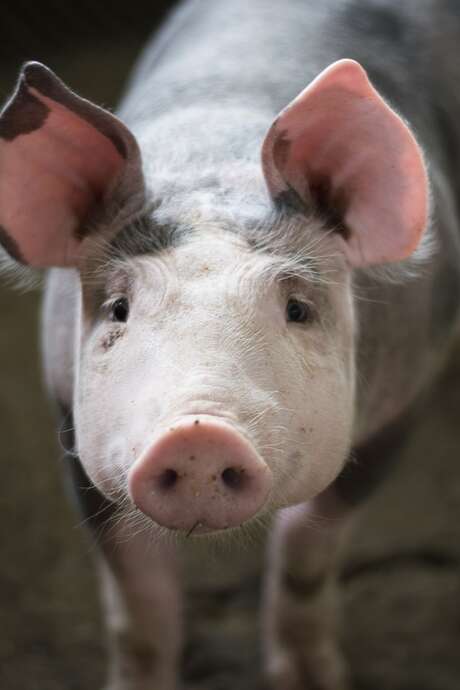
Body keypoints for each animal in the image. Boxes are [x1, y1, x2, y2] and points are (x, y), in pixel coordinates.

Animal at [2, 0, 460, 688]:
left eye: (297, 309)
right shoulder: (71, 420)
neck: (216, 165)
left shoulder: (403, 400)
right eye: (119, 308)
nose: (198, 433)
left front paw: (311, 678)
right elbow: (138, 598)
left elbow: (306, 553)